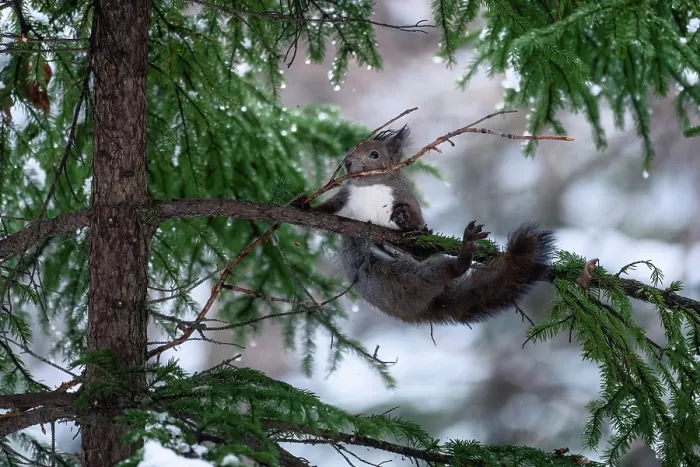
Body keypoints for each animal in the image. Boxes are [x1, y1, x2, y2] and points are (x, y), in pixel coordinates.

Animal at [300, 125, 555, 325]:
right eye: (351, 149)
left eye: (374, 154)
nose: (347, 161)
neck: (370, 187)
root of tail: (425, 309)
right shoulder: (345, 198)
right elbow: (327, 208)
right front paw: (302, 205)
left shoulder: (404, 195)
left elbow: (416, 225)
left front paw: (404, 217)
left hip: (415, 274)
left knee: (440, 269)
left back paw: (465, 249)